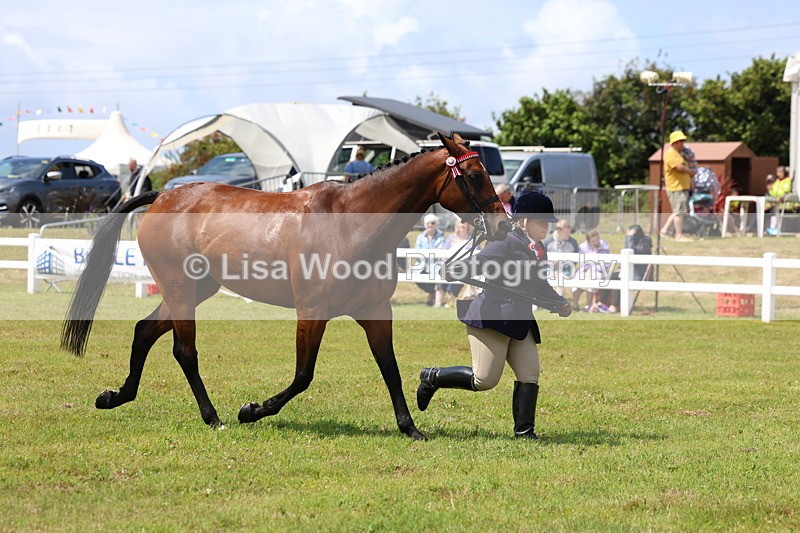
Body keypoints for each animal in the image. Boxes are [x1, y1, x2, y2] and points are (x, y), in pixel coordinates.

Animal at [61, 132, 510, 440]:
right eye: (474, 175)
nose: (504, 225)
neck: (350, 223)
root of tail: (164, 197)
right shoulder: (312, 313)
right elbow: (303, 375)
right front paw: (252, 410)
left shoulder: (375, 312)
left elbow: (391, 370)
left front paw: (410, 427)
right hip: (181, 289)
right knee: (183, 351)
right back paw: (214, 417)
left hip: (193, 290)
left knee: (144, 331)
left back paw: (115, 396)